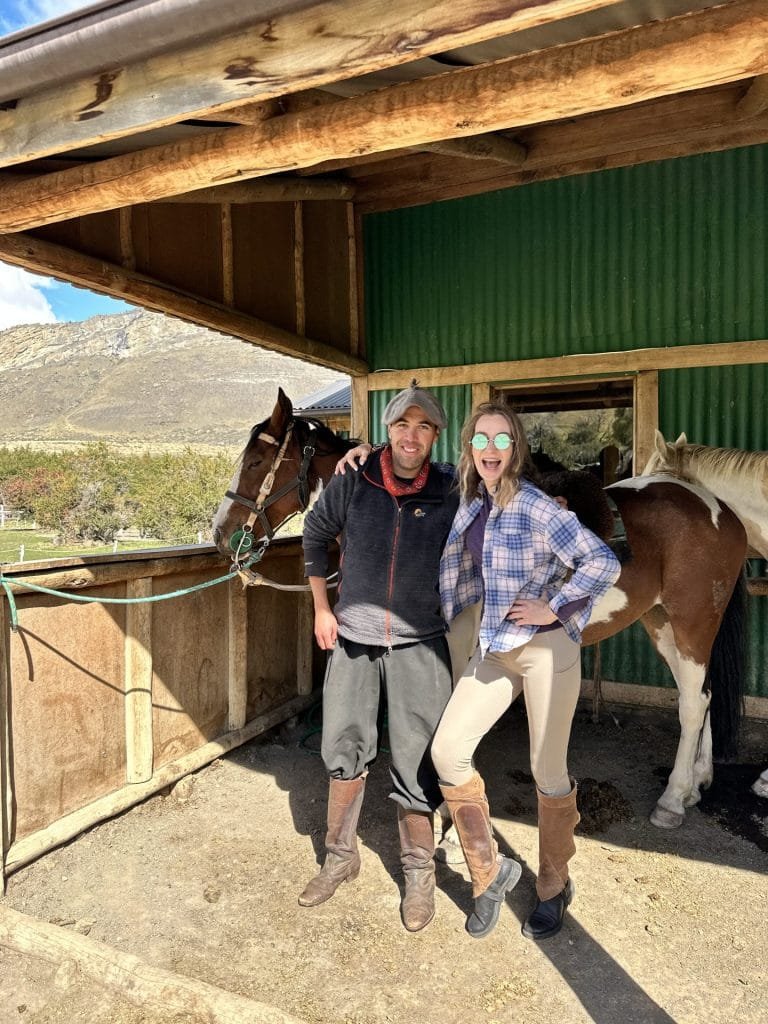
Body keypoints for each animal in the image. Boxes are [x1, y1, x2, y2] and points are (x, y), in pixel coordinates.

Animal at [214, 395, 749, 827]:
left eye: (256, 459)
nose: (221, 532)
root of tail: (717, 509)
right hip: (662, 623)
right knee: (703, 695)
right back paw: (696, 786)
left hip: (692, 622)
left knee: (692, 702)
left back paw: (673, 800)